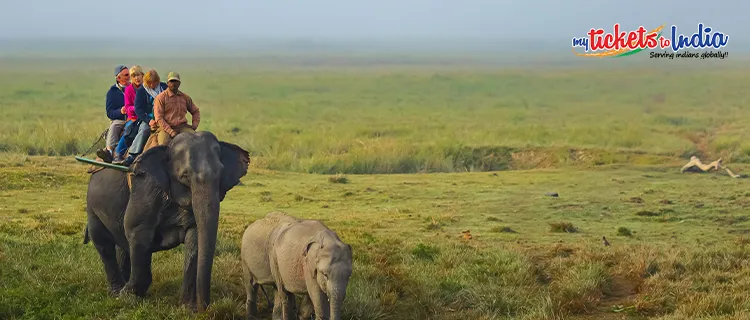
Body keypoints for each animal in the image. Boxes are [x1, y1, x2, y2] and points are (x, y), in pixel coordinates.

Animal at [85, 131, 250, 312]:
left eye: (220, 174)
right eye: (185, 176)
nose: (204, 309)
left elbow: (194, 239)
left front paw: (188, 308)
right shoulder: (145, 187)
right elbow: (136, 231)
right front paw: (127, 296)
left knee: (121, 245)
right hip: (92, 205)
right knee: (103, 242)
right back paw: (116, 292)